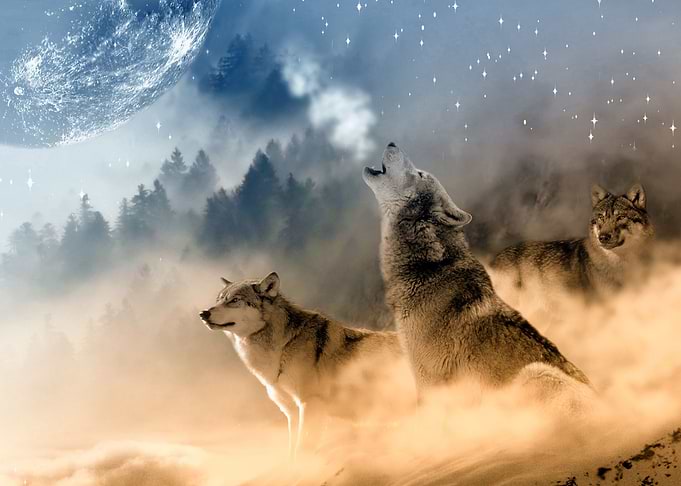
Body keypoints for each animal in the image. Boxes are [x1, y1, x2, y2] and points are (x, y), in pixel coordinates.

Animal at [199, 272, 403, 459]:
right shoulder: (291, 412)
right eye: (218, 300)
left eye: (234, 300)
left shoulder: (310, 404)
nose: (203, 313)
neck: (282, 347)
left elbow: (302, 450)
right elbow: (292, 451)